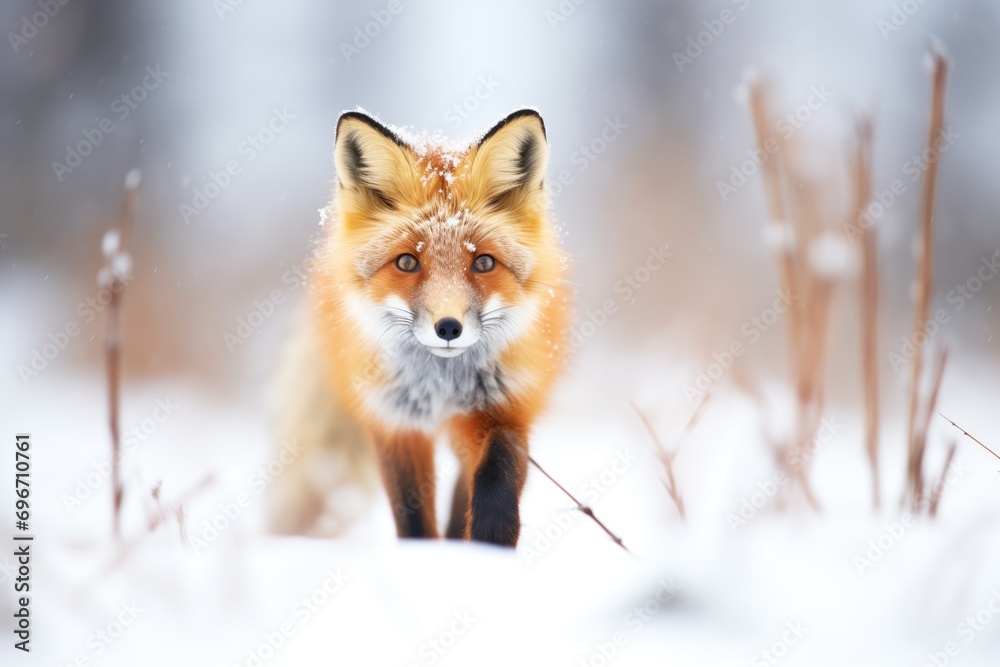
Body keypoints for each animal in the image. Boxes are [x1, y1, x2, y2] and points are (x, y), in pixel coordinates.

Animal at [269, 108, 570, 547]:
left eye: (483, 263)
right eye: (407, 262)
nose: (448, 328)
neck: (442, 384)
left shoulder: (504, 408)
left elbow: (496, 480)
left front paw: (489, 549)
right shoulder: (396, 421)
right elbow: (411, 513)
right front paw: (426, 556)